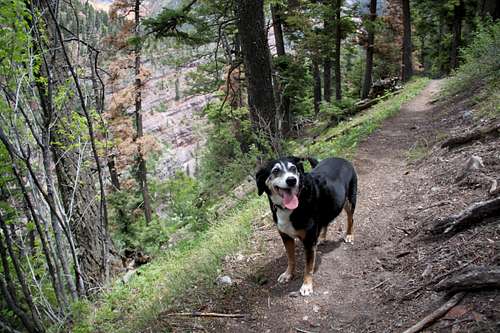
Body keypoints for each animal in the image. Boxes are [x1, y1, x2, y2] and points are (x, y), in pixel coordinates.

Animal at [256, 156, 358, 296]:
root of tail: (340, 158)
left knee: (350, 219)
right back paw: (322, 238)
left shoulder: (309, 241)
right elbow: (290, 258)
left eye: (293, 168)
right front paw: (288, 274)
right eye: (275, 170)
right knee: (325, 222)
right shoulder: (285, 237)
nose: (292, 180)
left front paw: (307, 285)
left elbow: (308, 266)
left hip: (349, 201)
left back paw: (349, 235)